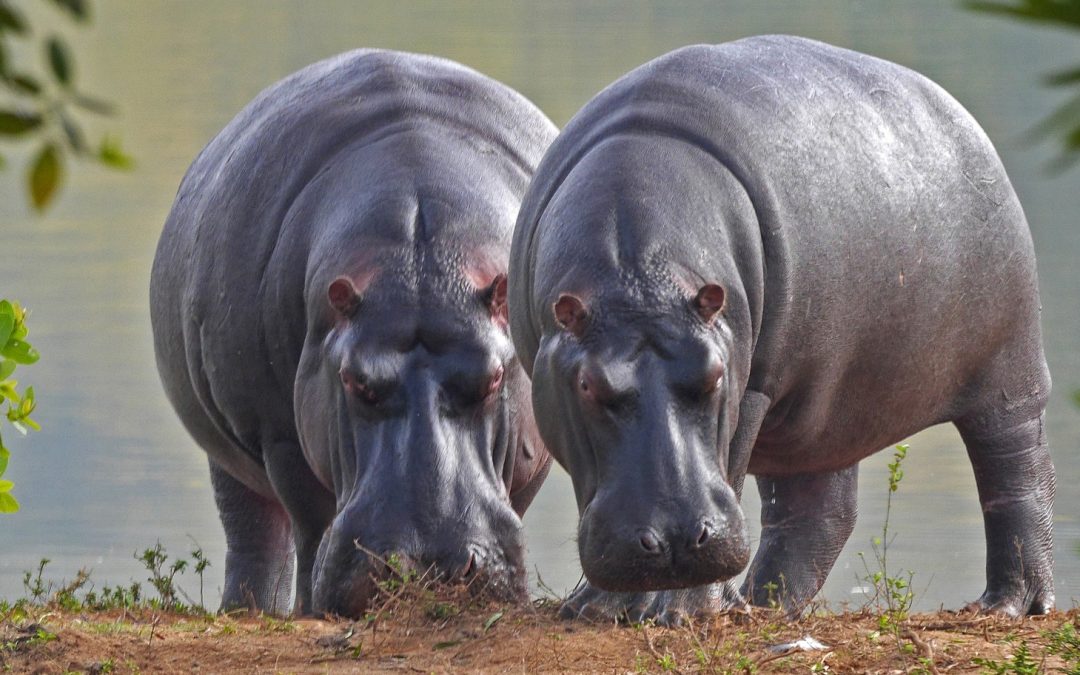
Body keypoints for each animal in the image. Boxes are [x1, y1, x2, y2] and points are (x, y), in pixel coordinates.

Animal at [151, 50, 556, 617]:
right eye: (353, 380)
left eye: (495, 377)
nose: (426, 566)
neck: (421, 264)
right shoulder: (280, 437)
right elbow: (312, 520)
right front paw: (310, 609)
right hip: (230, 455)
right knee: (256, 536)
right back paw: (251, 610)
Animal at [508, 35, 1054, 624]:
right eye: (587, 385)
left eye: (715, 374)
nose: (676, 541)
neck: (639, 276)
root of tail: (959, 117)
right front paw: (594, 608)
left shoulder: (751, 386)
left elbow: (728, 465)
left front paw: (682, 612)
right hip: (820, 405)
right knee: (817, 509)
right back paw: (764, 607)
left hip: (1008, 372)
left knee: (1018, 474)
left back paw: (1010, 606)